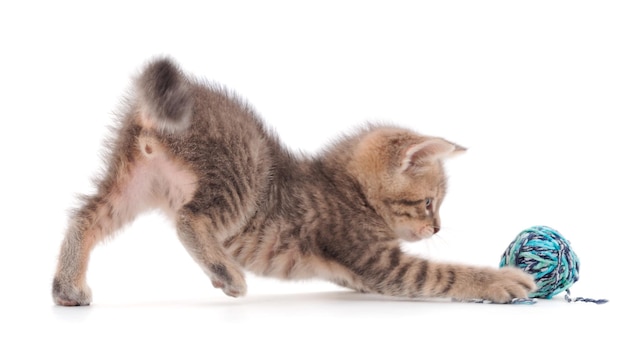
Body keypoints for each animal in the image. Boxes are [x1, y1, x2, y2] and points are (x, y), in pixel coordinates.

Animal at [52, 56, 536, 306]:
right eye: (430, 203)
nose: (435, 229)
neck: (350, 190)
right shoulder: (380, 263)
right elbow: (442, 274)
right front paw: (499, 281)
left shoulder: (360, 277)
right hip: (243, 169)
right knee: (190, 219)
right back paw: (225, 272)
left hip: (132, 183)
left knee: (85, 217)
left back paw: (67, 285)